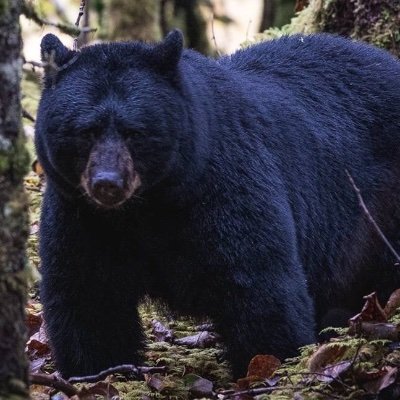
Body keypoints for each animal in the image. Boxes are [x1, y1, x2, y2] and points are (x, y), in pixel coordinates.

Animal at [34, 30, 400, 378]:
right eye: (86, 131)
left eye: (134, 132)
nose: (108, 184)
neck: (146, 207)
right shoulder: (81, 215)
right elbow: (89, 296)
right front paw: (99, 371)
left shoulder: (224, 188)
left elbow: (258, 283)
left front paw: (269, 365)